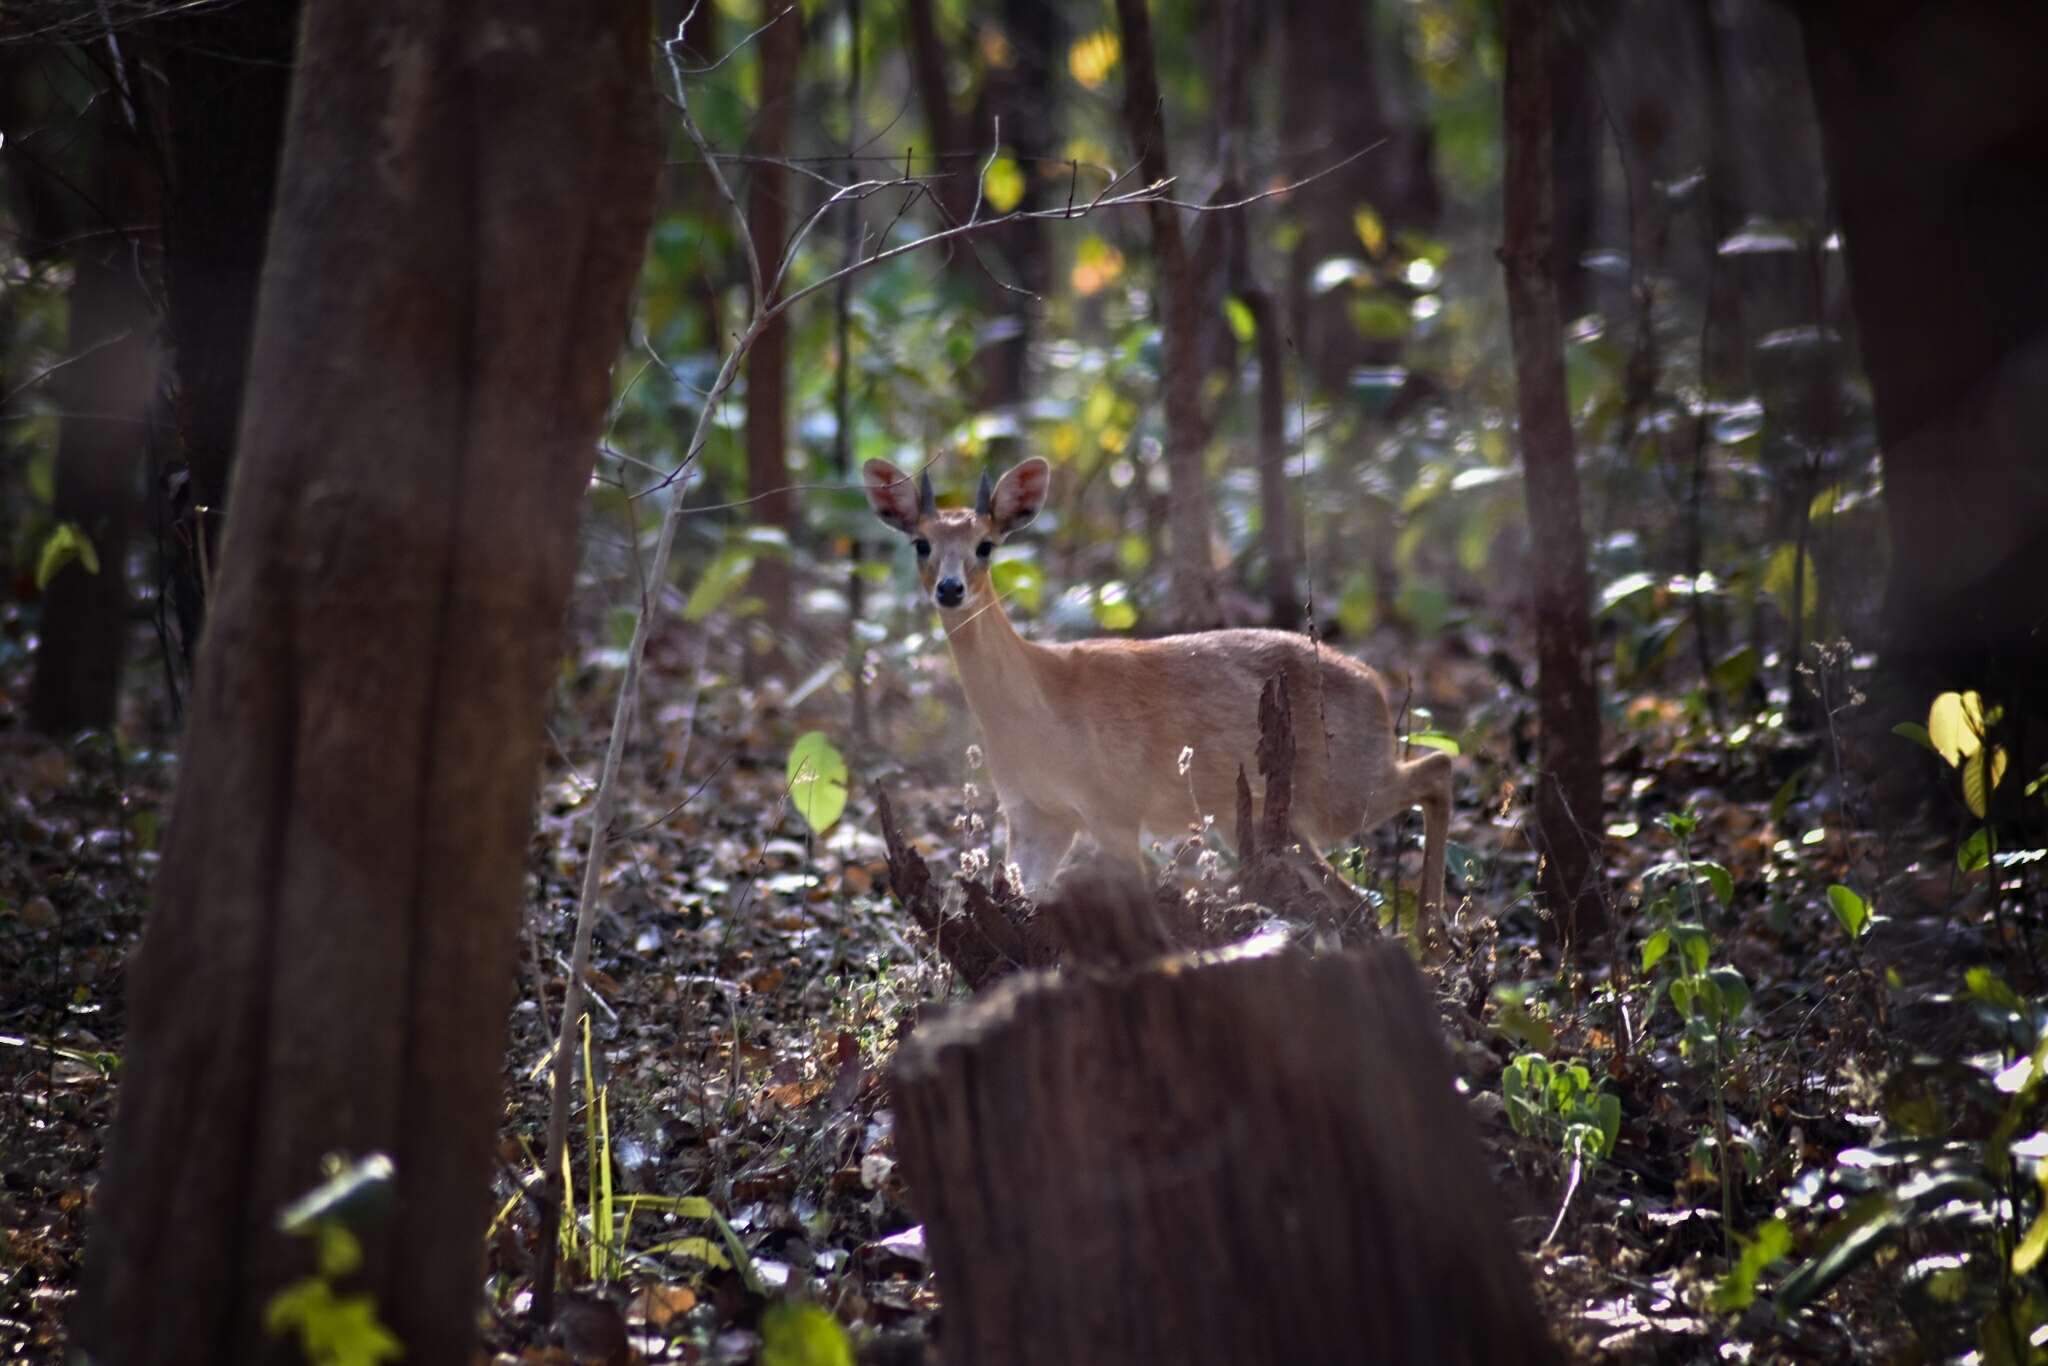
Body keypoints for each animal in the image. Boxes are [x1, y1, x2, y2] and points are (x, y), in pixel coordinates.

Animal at [864, 458, 1458, 942]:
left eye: (985, 545)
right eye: (921, 543)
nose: (949, 589)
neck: (1041, 704)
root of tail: (1376, 686)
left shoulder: (1113, 804)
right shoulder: (1034, 813)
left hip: (1341, 783)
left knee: (1437, 768)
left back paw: (1430, 934)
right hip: (1281, 816)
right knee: (1358, 897)